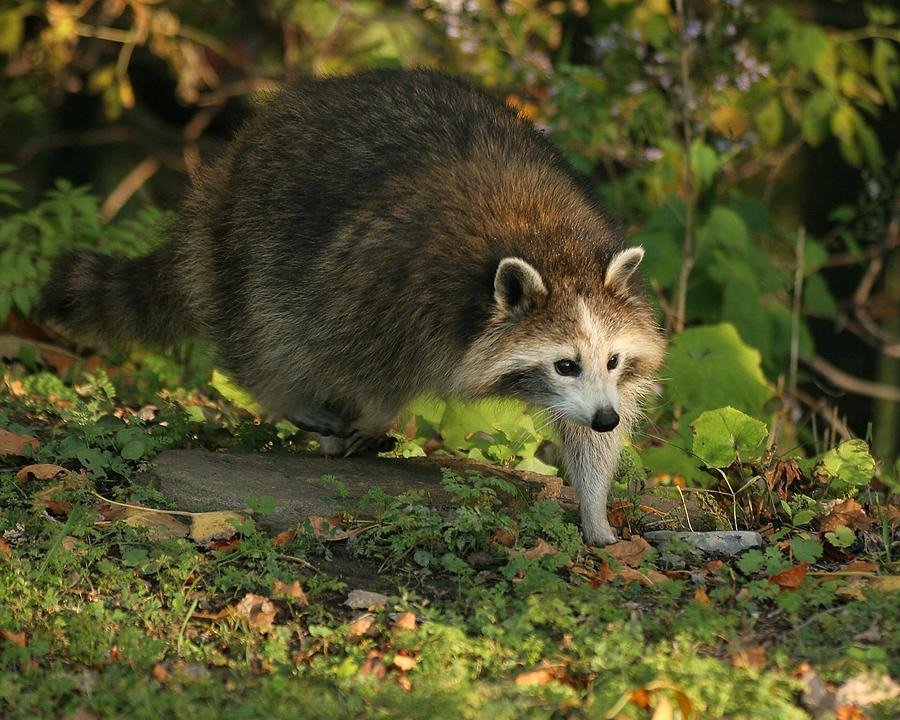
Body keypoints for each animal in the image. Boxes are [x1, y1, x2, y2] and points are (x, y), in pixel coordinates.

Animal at [41, 69, 666, 546]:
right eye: (564, 364)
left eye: (612, 361)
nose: (606, 415)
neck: (551, 247)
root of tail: (232, 157)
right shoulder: (380, 281)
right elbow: (350, 358)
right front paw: (367, 412)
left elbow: (587, 438)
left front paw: (594, 502)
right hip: (252, 236)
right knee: (267, 331)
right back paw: (295, 400)